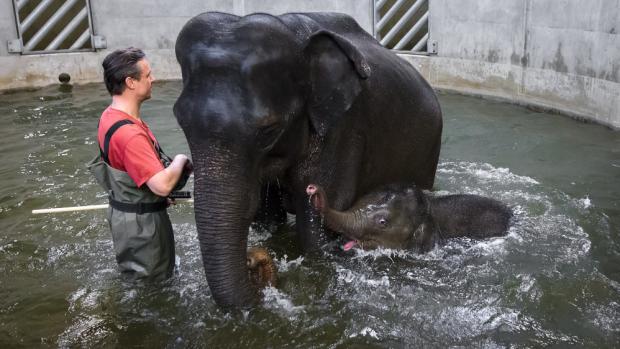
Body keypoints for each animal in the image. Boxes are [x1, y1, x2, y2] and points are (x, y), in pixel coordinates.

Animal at [173, 10, 440, 306]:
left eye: (269, 130)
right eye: (180, 121)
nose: (252, 262)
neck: (295, 37)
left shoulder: (342, 128)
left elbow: (315, 233)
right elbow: (269, 217)